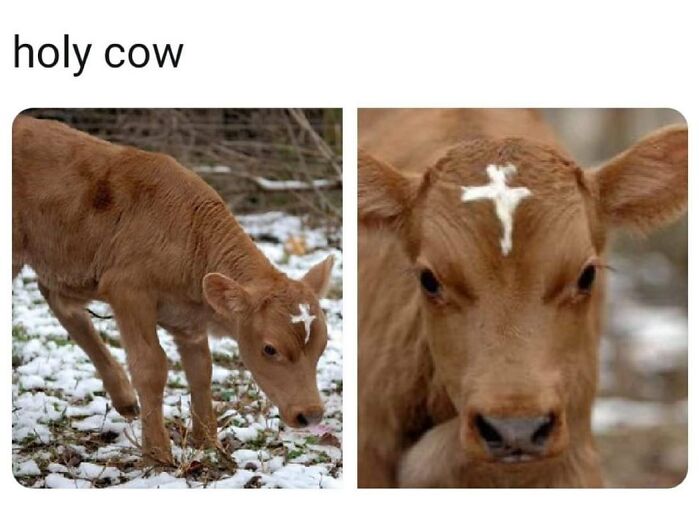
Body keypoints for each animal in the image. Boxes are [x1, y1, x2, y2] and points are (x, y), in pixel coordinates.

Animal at [12, 115, 335, 465]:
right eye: (270, 349)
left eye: (322, 346)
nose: (311, 415)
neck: (189, 236)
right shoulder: (129, 290)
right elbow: (151, 367)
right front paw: (157, 453)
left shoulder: (187, 318)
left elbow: (201, 369)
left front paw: (208, 443)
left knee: (59, 300)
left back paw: (124, 398)